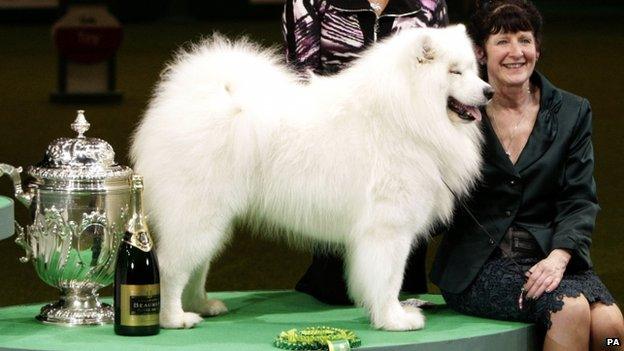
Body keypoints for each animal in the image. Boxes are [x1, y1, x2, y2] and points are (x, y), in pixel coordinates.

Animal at [132, 24, 492, 332]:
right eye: (454, 71)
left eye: (473, 69)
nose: (489, 91)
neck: (406, 114)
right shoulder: (389, 227)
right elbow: (390, 279)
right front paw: (395, 319)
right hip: (198, 214)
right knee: (170, 267)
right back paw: (174, 318)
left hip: (212, 219)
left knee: (197, 266)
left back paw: (202, 305)